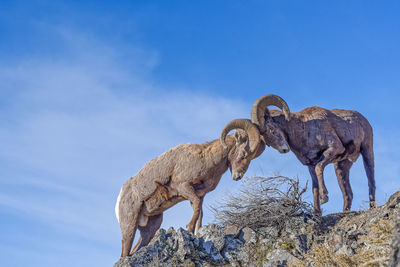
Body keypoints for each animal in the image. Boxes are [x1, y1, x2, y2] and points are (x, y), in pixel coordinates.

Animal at [115, 119, 284, 258]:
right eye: (243, 153)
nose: (238, 176)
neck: (206, 159)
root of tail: (122, 193)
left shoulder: (200, 195)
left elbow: (199, 214)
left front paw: (197, 233)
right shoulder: (184, 187)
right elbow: (196, 208)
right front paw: (189, 229)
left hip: (151, 227)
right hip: (129, 225)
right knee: (124, 252)